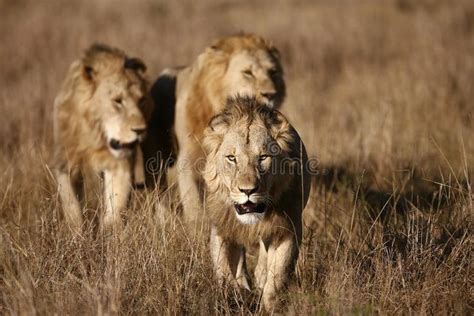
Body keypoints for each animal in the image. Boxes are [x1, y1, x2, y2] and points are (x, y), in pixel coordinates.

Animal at [54, 43, 154, 233]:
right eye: (118, 101)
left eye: (142, 100)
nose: (140, 130)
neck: (96, 138)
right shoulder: (66, 161)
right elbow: (71, 205)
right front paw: (77, 234)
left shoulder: (119, 164)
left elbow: (116, 206)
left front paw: (109, 233)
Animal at [143, 34, 286, 222]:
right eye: (248, 73)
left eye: (273, 72)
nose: (270, 94)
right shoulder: (189, 161)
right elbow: (194, 203)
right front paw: (197, 226)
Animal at [203, 96, 312, 312]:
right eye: (231, 158)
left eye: (263, 157)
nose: (247, 191)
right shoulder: (222, 226)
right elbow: (224, 271)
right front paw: (237, 296)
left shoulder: (288, 228)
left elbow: (277, 278)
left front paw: (267, 307)